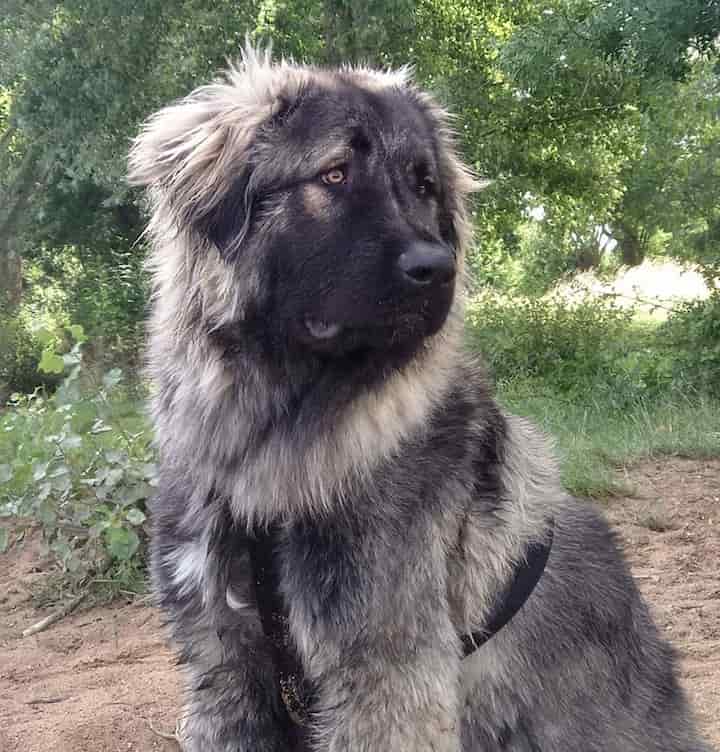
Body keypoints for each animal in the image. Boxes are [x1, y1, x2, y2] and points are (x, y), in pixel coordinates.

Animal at [129, 48, 708, 752]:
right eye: (335, 173)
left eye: (424, 185)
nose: (437, 269)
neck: (271, 442)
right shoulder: (223, 669)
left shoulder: (385, 678)